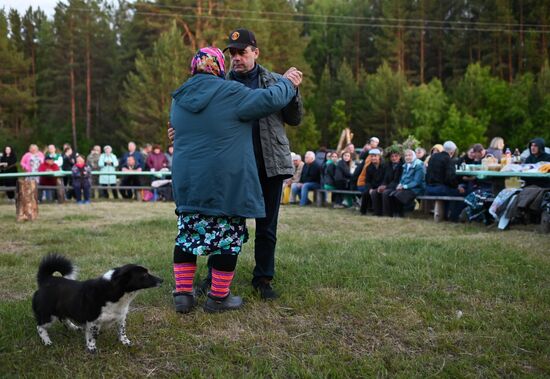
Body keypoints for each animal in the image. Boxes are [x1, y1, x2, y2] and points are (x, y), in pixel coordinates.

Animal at [32, 254, 163, 354]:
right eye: (144, 275)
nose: (162, 280)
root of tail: (47, 279)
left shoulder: (121, 318)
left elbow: (122, 331)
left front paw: (125, 342)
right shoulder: (92, 321)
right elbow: (91, 337)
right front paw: (92, 349)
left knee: (64, 319)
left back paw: (74, 327)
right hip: (48, 315)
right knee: (40, 327)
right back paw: (47, 341)